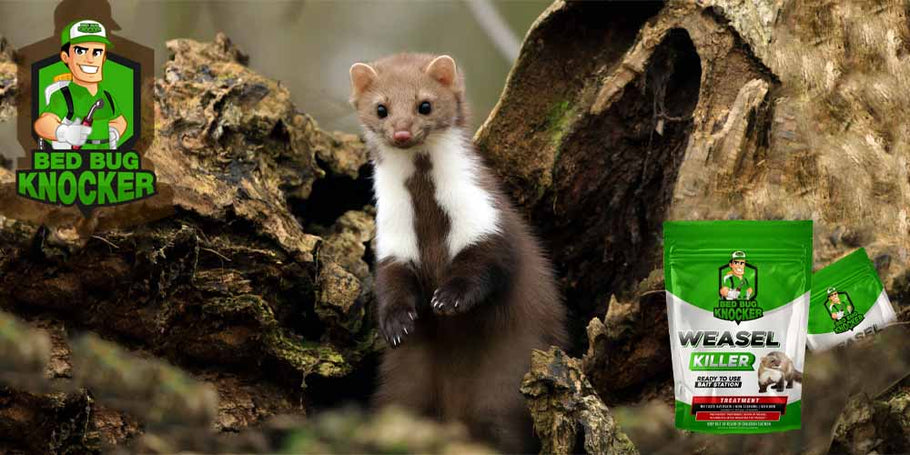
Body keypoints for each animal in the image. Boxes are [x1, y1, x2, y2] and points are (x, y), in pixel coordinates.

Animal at [350, 53, 568, 452]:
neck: (427, 217)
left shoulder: (485, 217)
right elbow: (391, 281)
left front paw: (448, 299)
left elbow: (488, 264)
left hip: (503, 380)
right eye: (381, 108)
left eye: (425, 104)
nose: (402, 132)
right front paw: (397, 322)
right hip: (407, 380)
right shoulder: (392, 239)